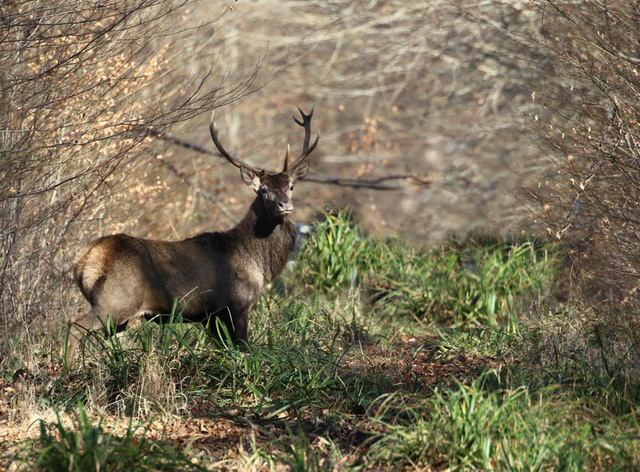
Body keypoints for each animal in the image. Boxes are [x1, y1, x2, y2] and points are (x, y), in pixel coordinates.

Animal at [63, 108, 318, 368]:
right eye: (263, 190)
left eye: (291, 187)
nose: (284, 204)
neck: (257, 262)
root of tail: (88, 259)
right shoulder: (236, 304)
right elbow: (244, 349)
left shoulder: (211, 316)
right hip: (115, 302)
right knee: (74, 326)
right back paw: (67, 369)